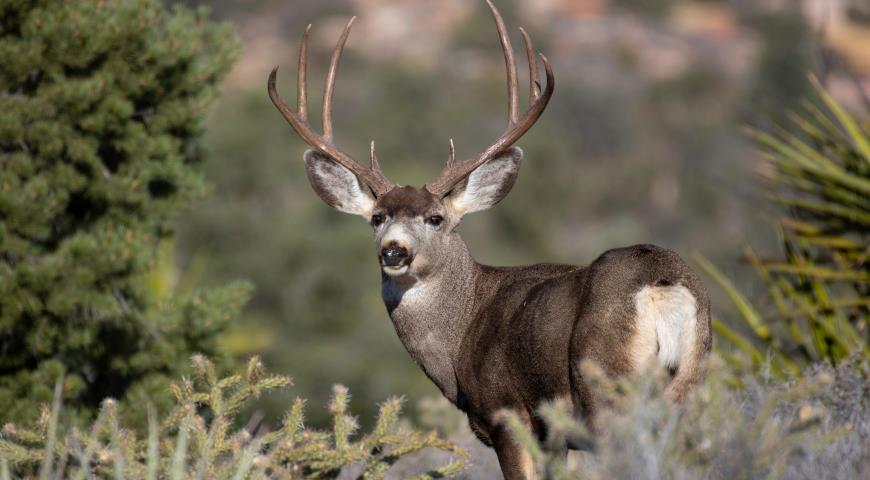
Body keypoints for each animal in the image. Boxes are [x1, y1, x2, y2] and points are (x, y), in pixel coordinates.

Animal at [270, 1, 712, 478]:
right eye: (376, 218)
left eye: (436, 217)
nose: (394, 250)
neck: (461, 329)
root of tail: (662, 285)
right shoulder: (554, 439)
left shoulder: (507, 413)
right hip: (688, 388)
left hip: (606, 391)